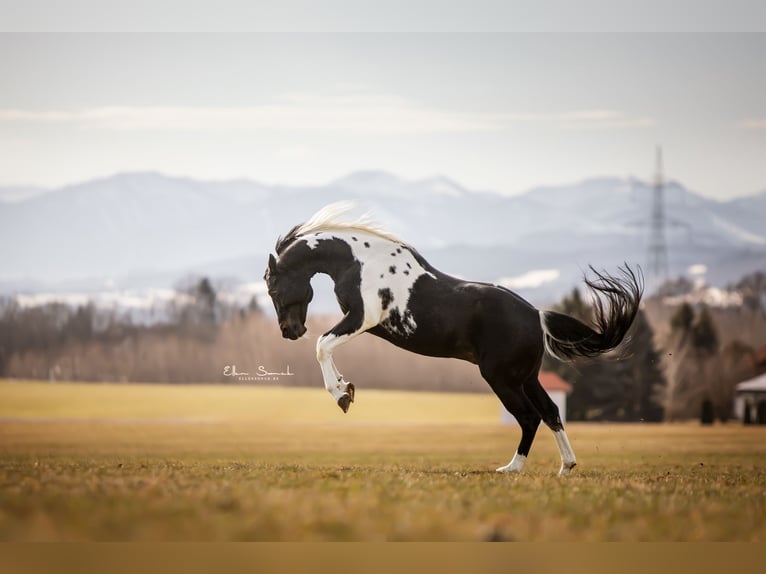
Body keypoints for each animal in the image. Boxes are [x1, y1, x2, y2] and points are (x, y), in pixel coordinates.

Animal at [264, 202, 643, 476]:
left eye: (273, 287)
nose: (289, 331)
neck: (360, 263)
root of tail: (536, 315)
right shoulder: (360, 323)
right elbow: (326, 347)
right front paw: (346, 387)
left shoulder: (362, 319)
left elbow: (322, 345)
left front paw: (343, 395)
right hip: (527, 377)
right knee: (550, 412)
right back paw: (566, 467)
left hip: (501, 378)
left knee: (529, 416)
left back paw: (511, 469)